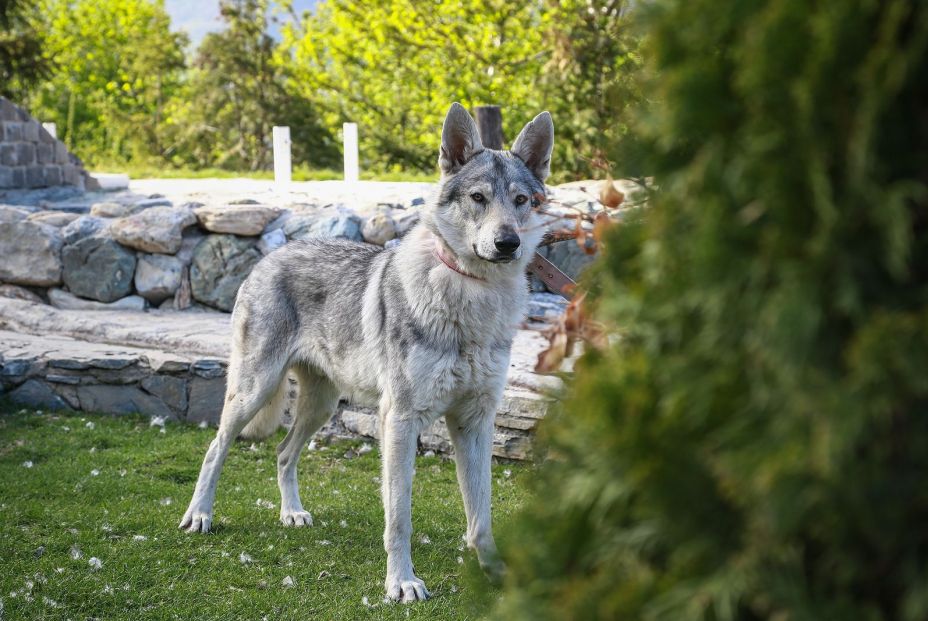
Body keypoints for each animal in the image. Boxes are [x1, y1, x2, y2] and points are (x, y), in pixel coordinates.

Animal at [183, 104, 552, 604]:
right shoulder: (399, 421)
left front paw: (494, 572)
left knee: (282, 453)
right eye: (478, 198)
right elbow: (399, 517)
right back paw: (199, 516)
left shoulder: (475, 421)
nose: (508, 243)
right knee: (215, 448)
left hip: (320, 407)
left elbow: (481, 517)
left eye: (520, 200)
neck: (473, 299)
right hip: (252, 393)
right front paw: (402, 582)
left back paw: (292, 514)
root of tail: (270, 256)